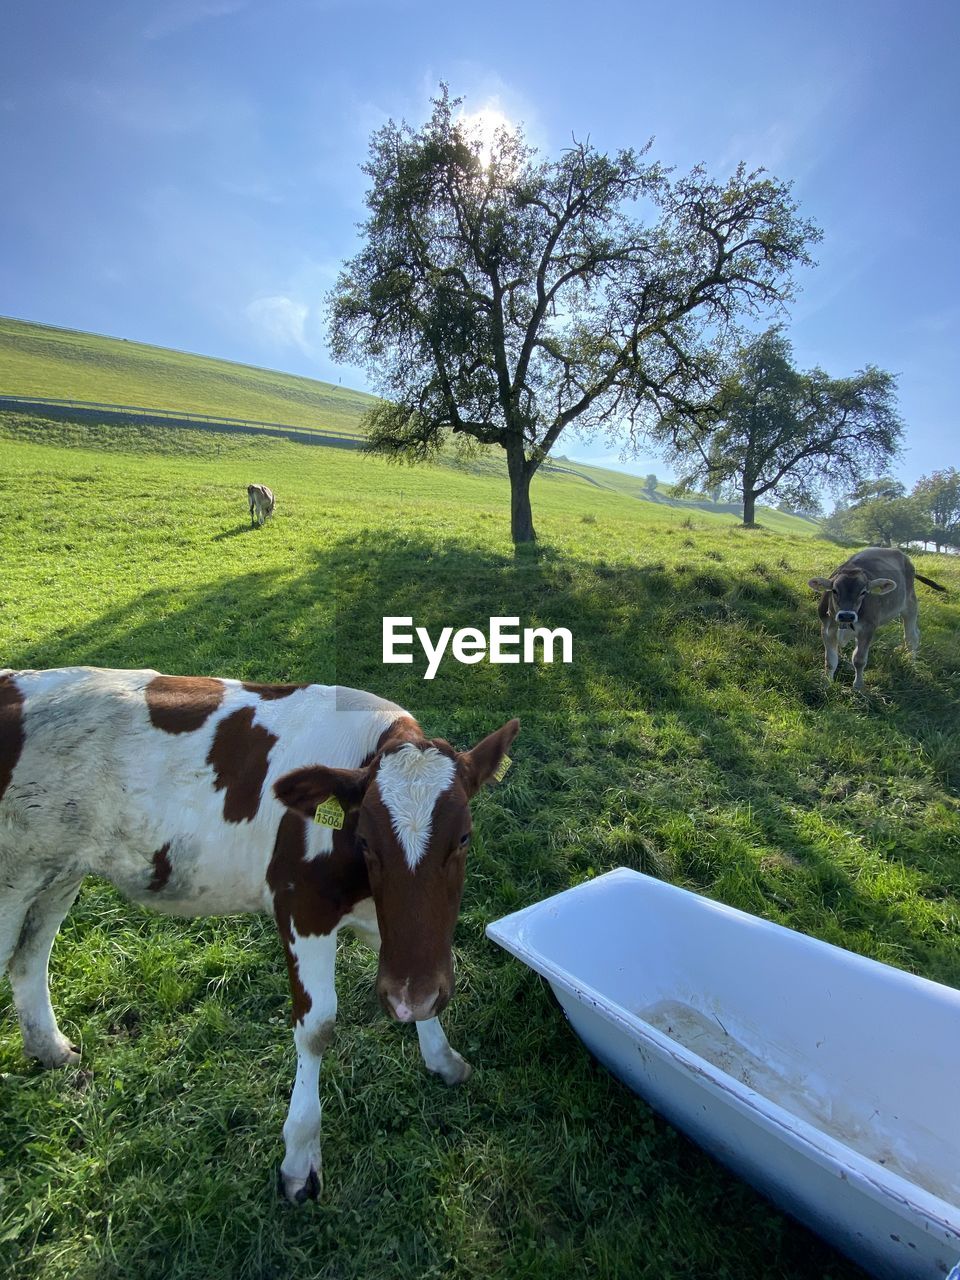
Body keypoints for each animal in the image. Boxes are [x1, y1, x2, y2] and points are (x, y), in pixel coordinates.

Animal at [0, 670, 519, 1198]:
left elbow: (416, 979)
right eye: (365, 841)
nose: (411, 998)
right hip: (14, 875)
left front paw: (441, 1056)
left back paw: (49, 1047)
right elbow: (317, 1028)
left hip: (58, 870)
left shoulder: (391, 928)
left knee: (29, 954)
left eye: (464, 837)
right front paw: (301, 1155)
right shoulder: (302, 906)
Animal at [808, 547, 952, 691]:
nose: (847, 615)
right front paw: (826, 683)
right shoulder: (827, 629)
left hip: (910, 604)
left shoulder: (868, 628)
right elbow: (830, 661)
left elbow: (859, 660)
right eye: (834, 590)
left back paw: (910, 660)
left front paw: (858, 687)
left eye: (863, 592)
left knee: (912, 636)